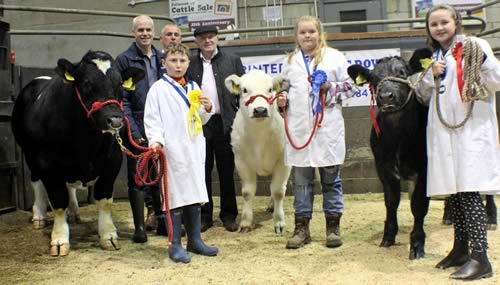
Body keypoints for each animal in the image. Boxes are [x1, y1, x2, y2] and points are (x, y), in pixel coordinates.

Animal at [11, 50, 144, 255]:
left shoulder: (112, 162)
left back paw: (73, 211)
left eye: (120, 84)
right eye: (87, 83)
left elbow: (104, 200)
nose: (114, 120)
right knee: (36, 182)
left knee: (70, 188)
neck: (86, 144)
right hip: (29, 154)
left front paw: (109, 236)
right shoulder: (48, 164)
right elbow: (58, 202)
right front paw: (59, 239)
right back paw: (39, 215)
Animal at [225, 69, 292, 233]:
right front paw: (245, 223)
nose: (260, 110)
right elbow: (247, 192)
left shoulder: (283, 162)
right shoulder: (241, 161)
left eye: (270, 89)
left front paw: (279, 222)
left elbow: (278, 191)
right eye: (244, 90)